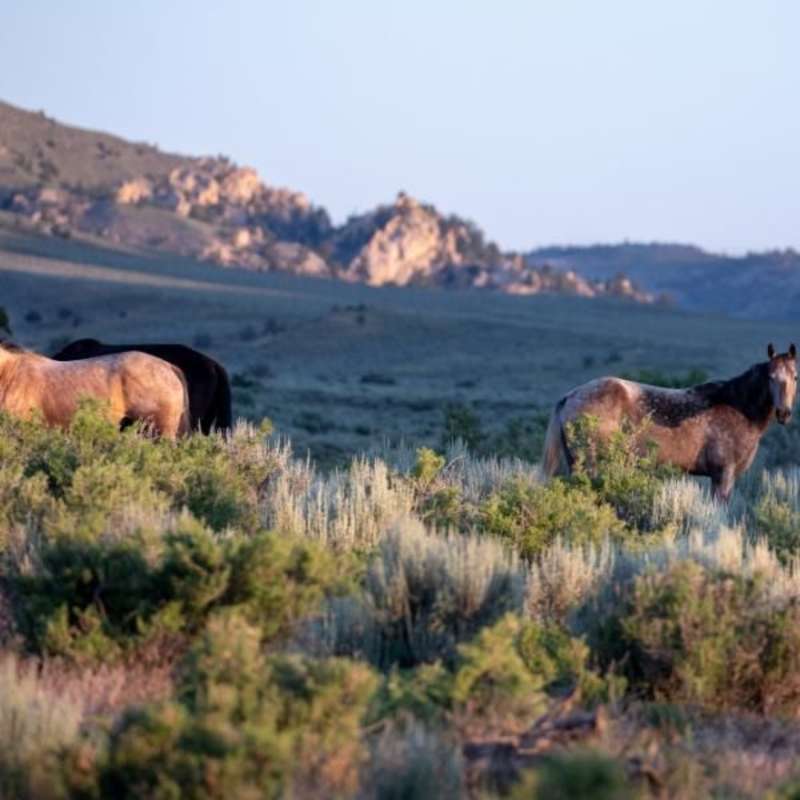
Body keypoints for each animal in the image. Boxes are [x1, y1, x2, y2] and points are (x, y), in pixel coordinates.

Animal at [542, 344, 798, 502]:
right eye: (771, 377)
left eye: (795, 377)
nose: (783, 413)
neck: (738, 407)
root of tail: (571, 396)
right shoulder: (723, 476)